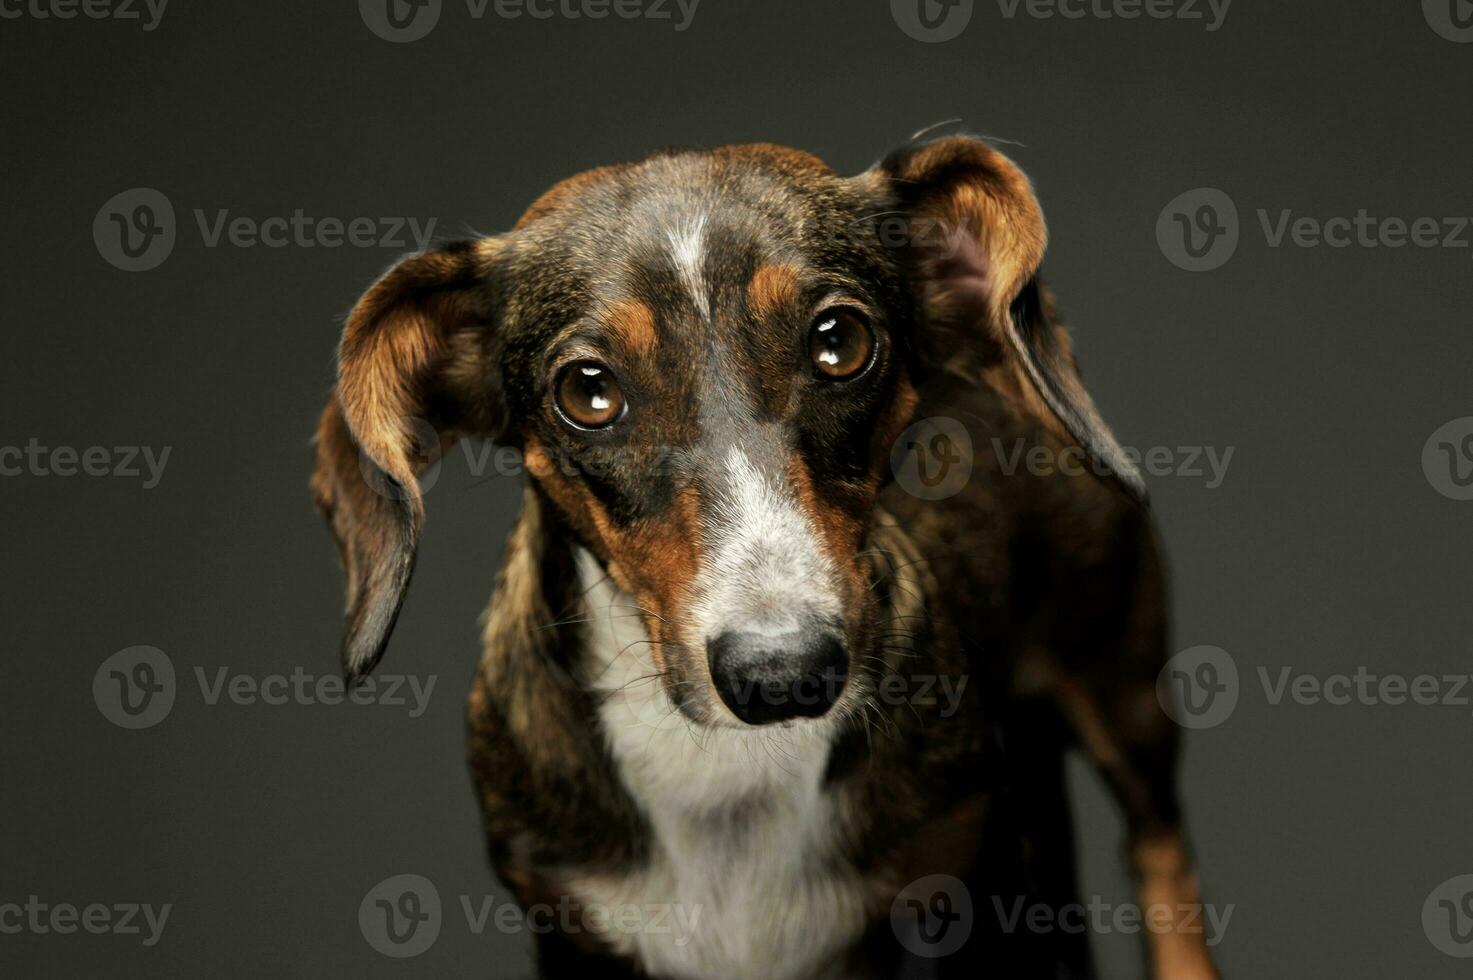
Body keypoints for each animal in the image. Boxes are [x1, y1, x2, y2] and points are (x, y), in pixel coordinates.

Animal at [313, 131, 1219, 978]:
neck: (723, 779)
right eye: (587, 391)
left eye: (839, 341)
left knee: (1160, 850)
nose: (783, 674)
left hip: (1123, 690)